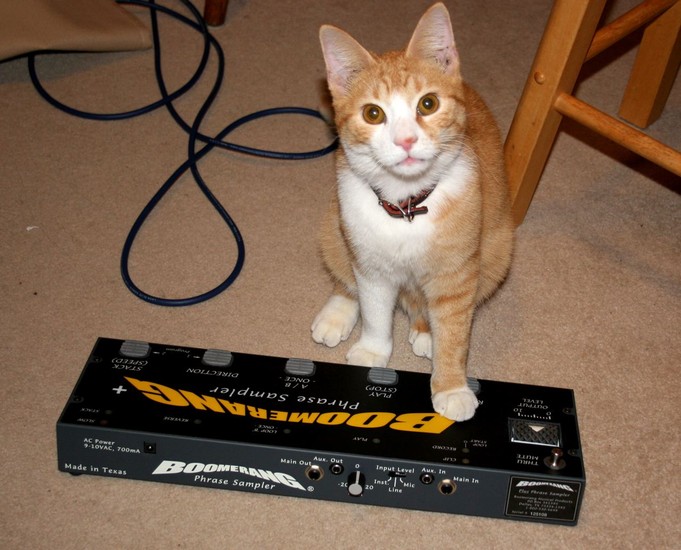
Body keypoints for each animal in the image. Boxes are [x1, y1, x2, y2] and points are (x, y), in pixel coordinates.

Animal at [311, 3, 514, 421]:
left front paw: (451, 385)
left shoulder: (457, 273)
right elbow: (374, 308)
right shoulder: (370, 263)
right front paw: (373, 349)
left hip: (498, 252)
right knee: (345, 275)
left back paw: (424, 330)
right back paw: (338, 311)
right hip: (333, 223)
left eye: (428, 104)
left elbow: (454, 332)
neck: (405, 206)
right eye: (373, 114)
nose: (405, 140)